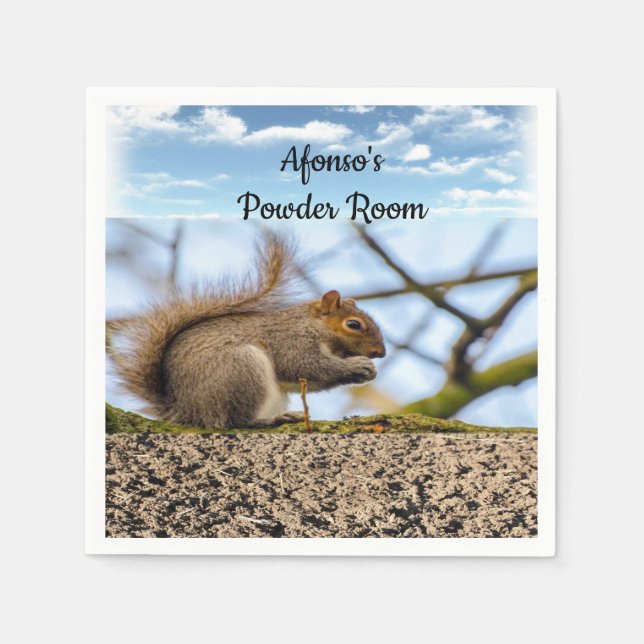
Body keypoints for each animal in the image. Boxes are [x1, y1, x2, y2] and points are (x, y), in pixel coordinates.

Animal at [110, 231, 386, 429]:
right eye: (353, 324)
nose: (380, 353)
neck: (313, 326)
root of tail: (186, 411)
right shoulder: (291, 340)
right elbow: (304, 365)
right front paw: (357, 366)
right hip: (240, 370)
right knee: (235, 421)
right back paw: (272, 419)